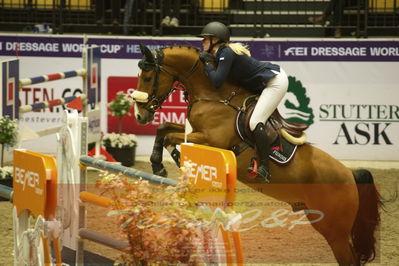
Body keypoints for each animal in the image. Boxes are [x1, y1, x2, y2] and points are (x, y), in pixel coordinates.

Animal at [132, 44, 382, 264]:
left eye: (148, 77)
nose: (140, 116)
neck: (213, 95)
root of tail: (350, 174)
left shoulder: (212, 140)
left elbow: (169, 137)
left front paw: (162, 164)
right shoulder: (195, 133)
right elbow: (163, 130)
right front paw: (162, 163)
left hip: (334, 230)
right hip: (320, 219)